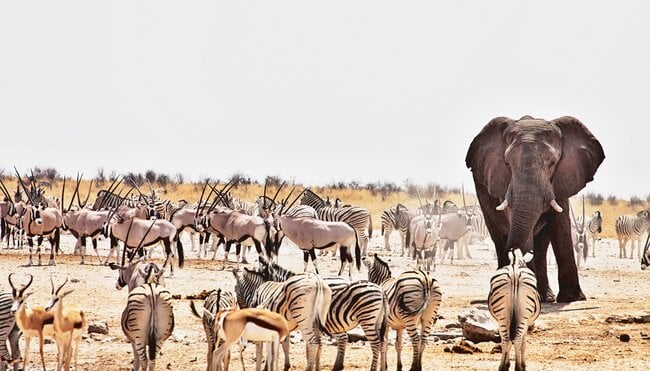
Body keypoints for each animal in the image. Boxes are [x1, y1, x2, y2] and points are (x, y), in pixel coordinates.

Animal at [258, 262, 388, 371]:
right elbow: (316, 345)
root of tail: (381, 291)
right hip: (377, 320)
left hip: (364, 318)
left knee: (370, 342)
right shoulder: (313, 325)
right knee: (382, 342)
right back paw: (381, 367)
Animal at [466, 115, 604, 302]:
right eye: (508, 164)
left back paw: (546, 297)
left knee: (541, 244)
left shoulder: (561, 179)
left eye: (552, 163)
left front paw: (572, 299)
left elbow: (560, 226)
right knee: (498, 237)